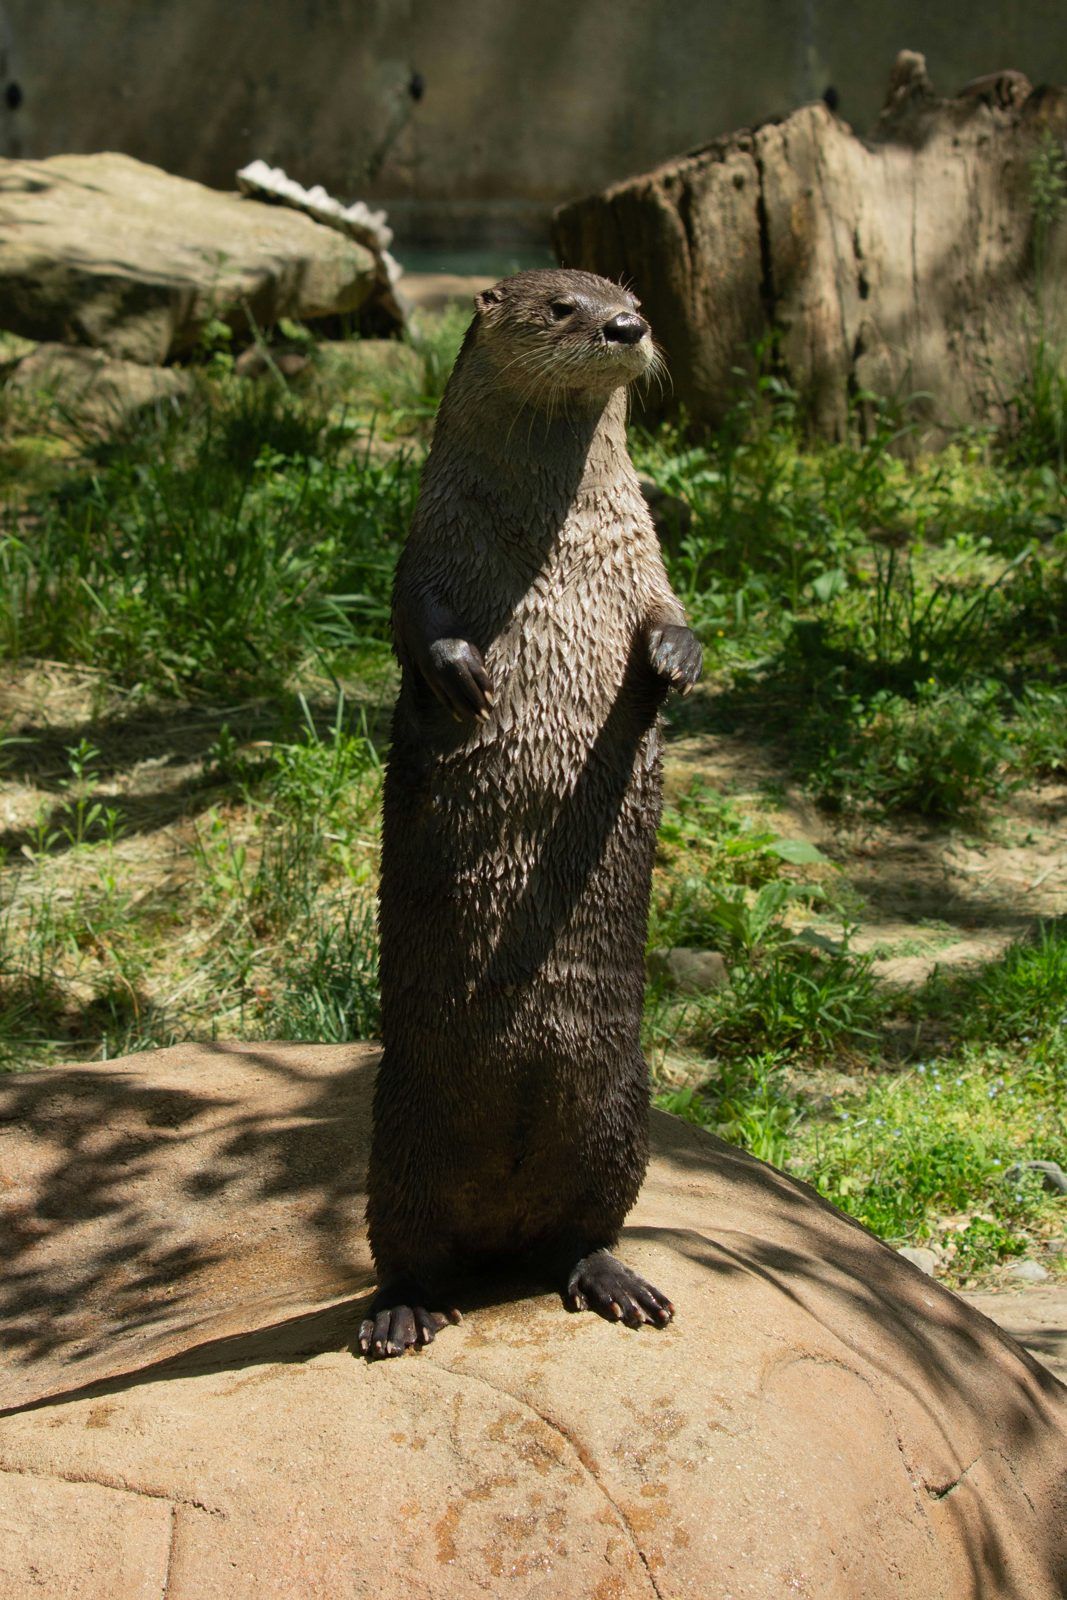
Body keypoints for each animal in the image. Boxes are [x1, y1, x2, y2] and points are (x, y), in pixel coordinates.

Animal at [360, 269, 701, 1358]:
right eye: (560, 306)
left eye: (630, 296)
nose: (627, 326)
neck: (551, 547)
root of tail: (499, 1237)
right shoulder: (426, 546)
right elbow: (412, 621)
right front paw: (464, 674)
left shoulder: (646, 557)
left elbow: (672, 614)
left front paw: (673, 660)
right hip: (400, 1130)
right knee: (403, 1243)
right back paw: (401, 1310)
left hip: (623, 1106)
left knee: (583, 1227)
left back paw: (611, 1277)